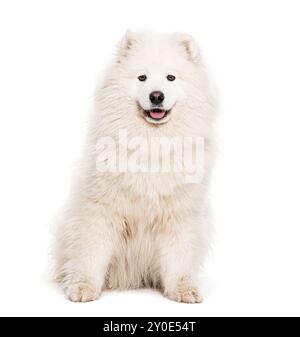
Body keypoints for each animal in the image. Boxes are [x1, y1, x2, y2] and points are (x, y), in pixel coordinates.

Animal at [53, 30, 216, 302]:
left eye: (171, 77)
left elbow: (179, 258)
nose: (156, 96)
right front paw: (84, 286)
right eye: (142, 77)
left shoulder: (179, 215)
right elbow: (91, 253)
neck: (152, 144)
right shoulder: (102, 210)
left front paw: (183, 289)